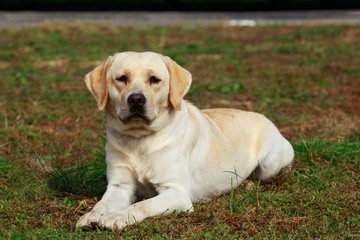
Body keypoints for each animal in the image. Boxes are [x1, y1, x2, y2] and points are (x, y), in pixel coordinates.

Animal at [75, 52, 292, 229]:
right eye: (121, 78)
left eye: (154, 79)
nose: (136, 99)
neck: (140, 140)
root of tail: (263, 116)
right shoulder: (120, 186)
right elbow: (102, 204)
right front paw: (91, 215)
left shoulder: (176, 193)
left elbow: (142, 204)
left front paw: (119, 216)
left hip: (271, 163)